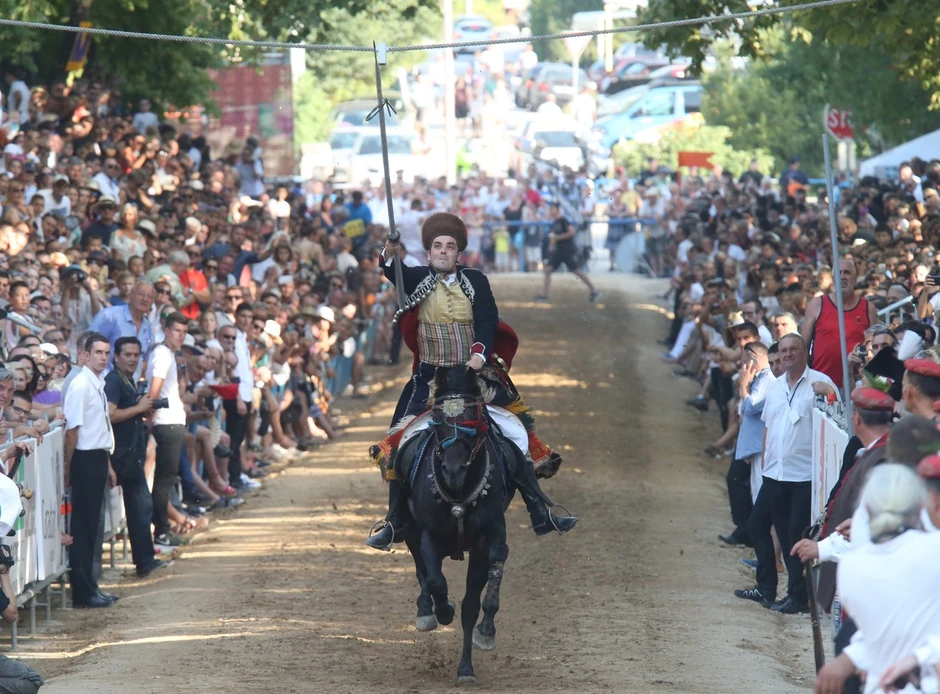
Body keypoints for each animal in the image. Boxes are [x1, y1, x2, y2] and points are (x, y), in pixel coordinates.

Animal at [395, 365, 514, 684]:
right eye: (438, 419)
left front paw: (473, 654)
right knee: (423, 572)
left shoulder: (486, 540)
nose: (453, 470)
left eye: (473, 417)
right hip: (409, 530)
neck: (459, 493)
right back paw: (427, 611)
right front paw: (442, 610)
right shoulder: (427, 535)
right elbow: (435, 580)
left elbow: (472, 606)